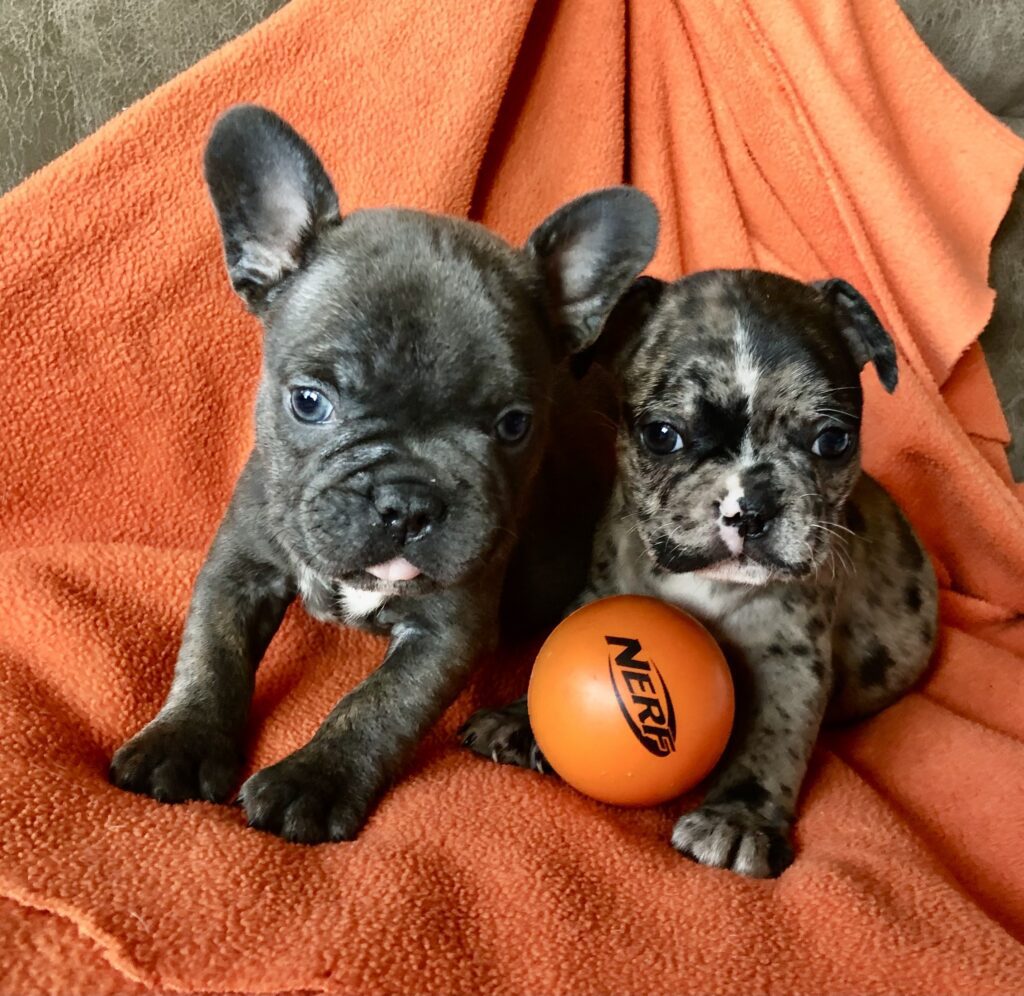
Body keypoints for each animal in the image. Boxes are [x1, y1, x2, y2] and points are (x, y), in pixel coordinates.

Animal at [110, 104, 655, 843]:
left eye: (514, 425)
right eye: (309, 402)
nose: (408, 500)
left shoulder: (447, 629)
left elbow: (377, 704)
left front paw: (313, 780)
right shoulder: (238, 567)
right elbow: (211, 656)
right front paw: (182, 741)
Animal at [464, 268, 937, 876]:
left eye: (833, 441)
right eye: (662, 435)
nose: (751, 506)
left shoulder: (791, 659)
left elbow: (772, 737)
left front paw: (737, 819)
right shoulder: (599, 592)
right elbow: (550, 655)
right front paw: (518, 717)